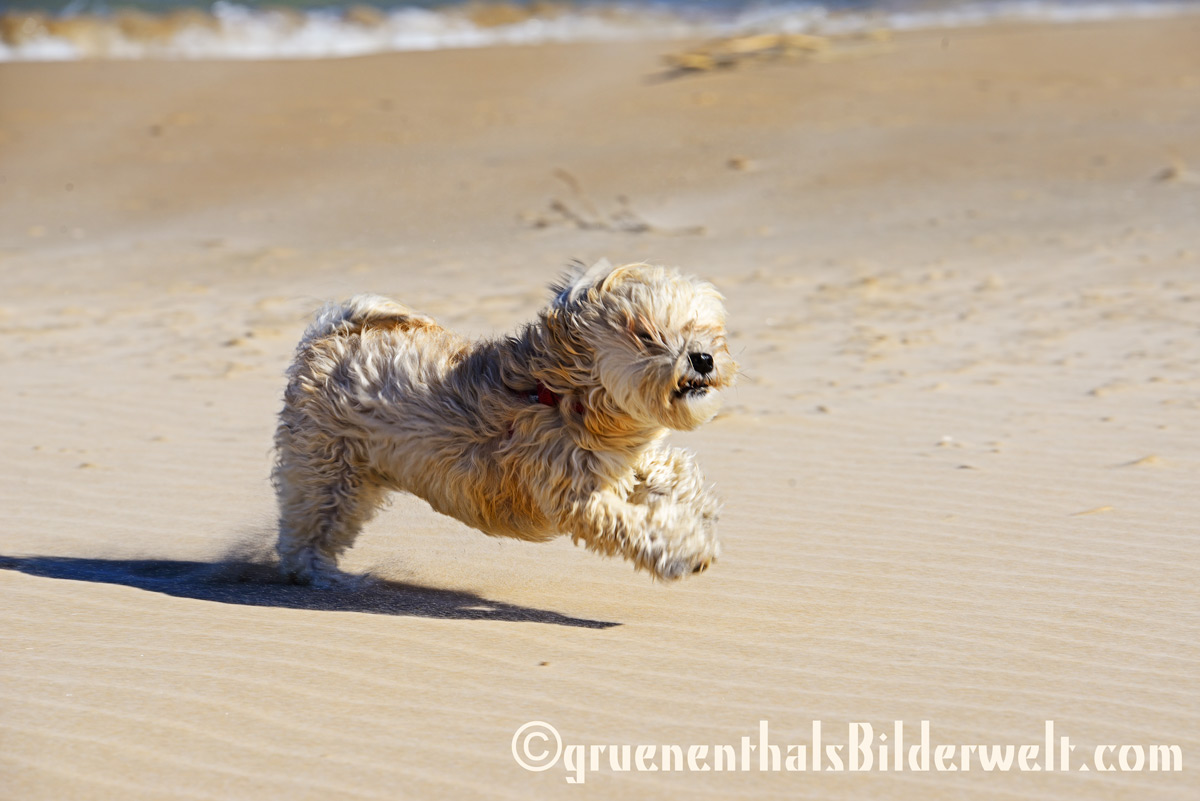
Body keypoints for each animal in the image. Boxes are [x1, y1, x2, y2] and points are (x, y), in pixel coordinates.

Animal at [273, 260, 734, 585]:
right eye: (646, 335)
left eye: (704, 327)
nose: (703, 358)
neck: (567, 400)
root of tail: (330, 333)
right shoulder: (572, 496)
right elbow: (634, 526)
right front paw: (687, 550)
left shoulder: (615, 460)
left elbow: (673, 468)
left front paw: (695, 506)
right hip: (327, 470)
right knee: (306, 530)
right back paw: (321, 575)